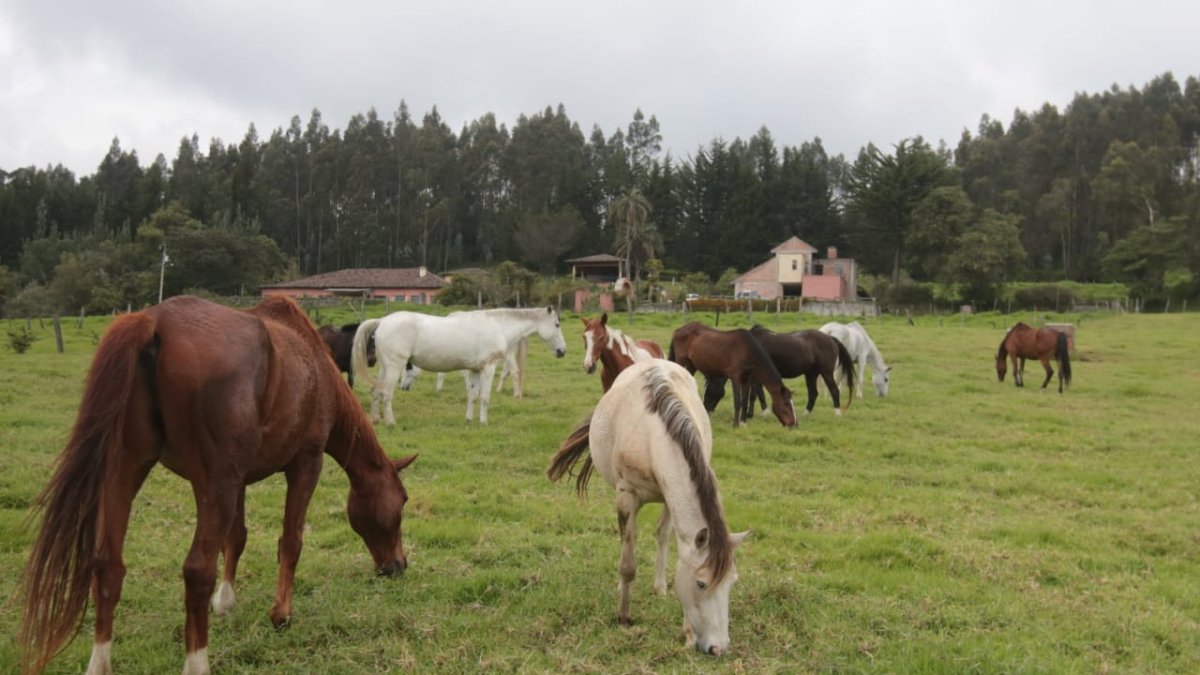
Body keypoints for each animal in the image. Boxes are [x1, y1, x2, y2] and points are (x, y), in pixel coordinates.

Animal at [18, 296, 417, 675]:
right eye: (401, 502)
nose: (397, 566)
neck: (316, 367)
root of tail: (153, 321)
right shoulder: (304, 464)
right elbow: (290, 543)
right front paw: (281, 614)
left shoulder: (235, 480)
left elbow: (236, 537)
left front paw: (225, 601)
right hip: (211, 485)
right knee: (197, 571)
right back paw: (197, 663)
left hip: (126, 471)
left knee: (107, 565)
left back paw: (100, 663)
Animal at [352, 306, 567, 425]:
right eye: (557, 324)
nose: (562, 351)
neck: (498, 326)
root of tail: (382, 321)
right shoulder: (488, 369)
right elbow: (485, 398)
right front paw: (484, 422)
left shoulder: (475, 370)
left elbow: (472, 396)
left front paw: (469, 419)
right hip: (395, 367)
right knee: (386, 394)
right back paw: (390, 422)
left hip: (385, 367)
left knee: (375, 391)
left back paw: (376, 419)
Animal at [548, 359, 749, 656]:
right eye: (701, 583)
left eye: (731, 582)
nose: (719, 648)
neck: (652, 436)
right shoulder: (626, 497)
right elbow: (627, 564)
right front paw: (623, 617)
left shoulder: (672, 495)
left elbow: (675, 548)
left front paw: (687, 632)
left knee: (662, 536)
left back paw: (659, 586)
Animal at [668, 322, 796, 428]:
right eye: (786, 404)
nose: (794, 423)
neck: (747, 349)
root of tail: (678, 330)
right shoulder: (736, 377)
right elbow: (738, 401)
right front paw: (735, 424)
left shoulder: (747, 378)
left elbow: (745, 401)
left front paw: (743, 422)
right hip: (681, 361)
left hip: (692, 365)